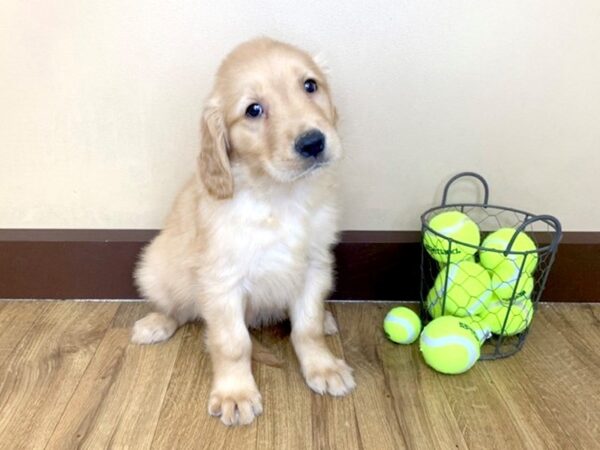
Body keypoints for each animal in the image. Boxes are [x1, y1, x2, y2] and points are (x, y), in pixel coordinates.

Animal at [132, 37, 354, 426]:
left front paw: (323, 366)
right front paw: (235, 393)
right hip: (155, 269)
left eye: (310, 85)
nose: (313, 143)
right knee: (176, 309)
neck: (279, 196)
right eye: (253, 110)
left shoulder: (315, 264)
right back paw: (156, 324)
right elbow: (232, 342)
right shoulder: (222, 280)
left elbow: (307, 326)